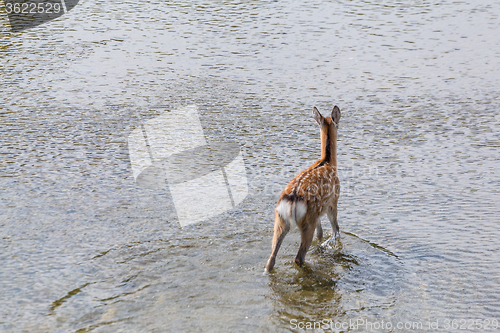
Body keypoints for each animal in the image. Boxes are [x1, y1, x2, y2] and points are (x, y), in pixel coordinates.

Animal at [266, 105, 340, 272]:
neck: (328, 161)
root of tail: (292, 201)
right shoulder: (333, 201)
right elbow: (335, 231)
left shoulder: (320, 212)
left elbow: (320, 233)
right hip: (308, 220)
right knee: (299, 257)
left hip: (280, 220)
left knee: (271, 257)